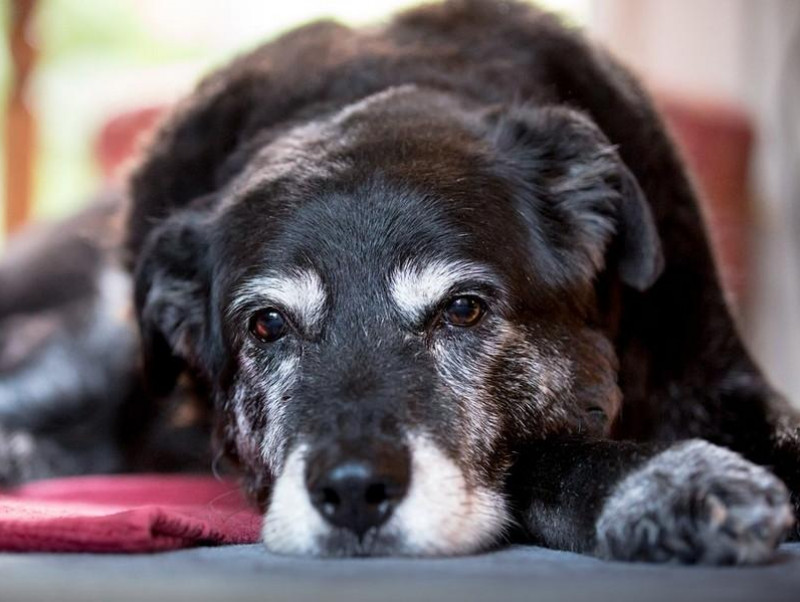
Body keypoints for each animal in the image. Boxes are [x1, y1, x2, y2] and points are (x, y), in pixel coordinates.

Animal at [1, 0, 800, 564]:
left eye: (464, 310)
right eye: (267, 325)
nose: (354, 492)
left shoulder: (719, 379)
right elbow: (539, 453)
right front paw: (671, 482)